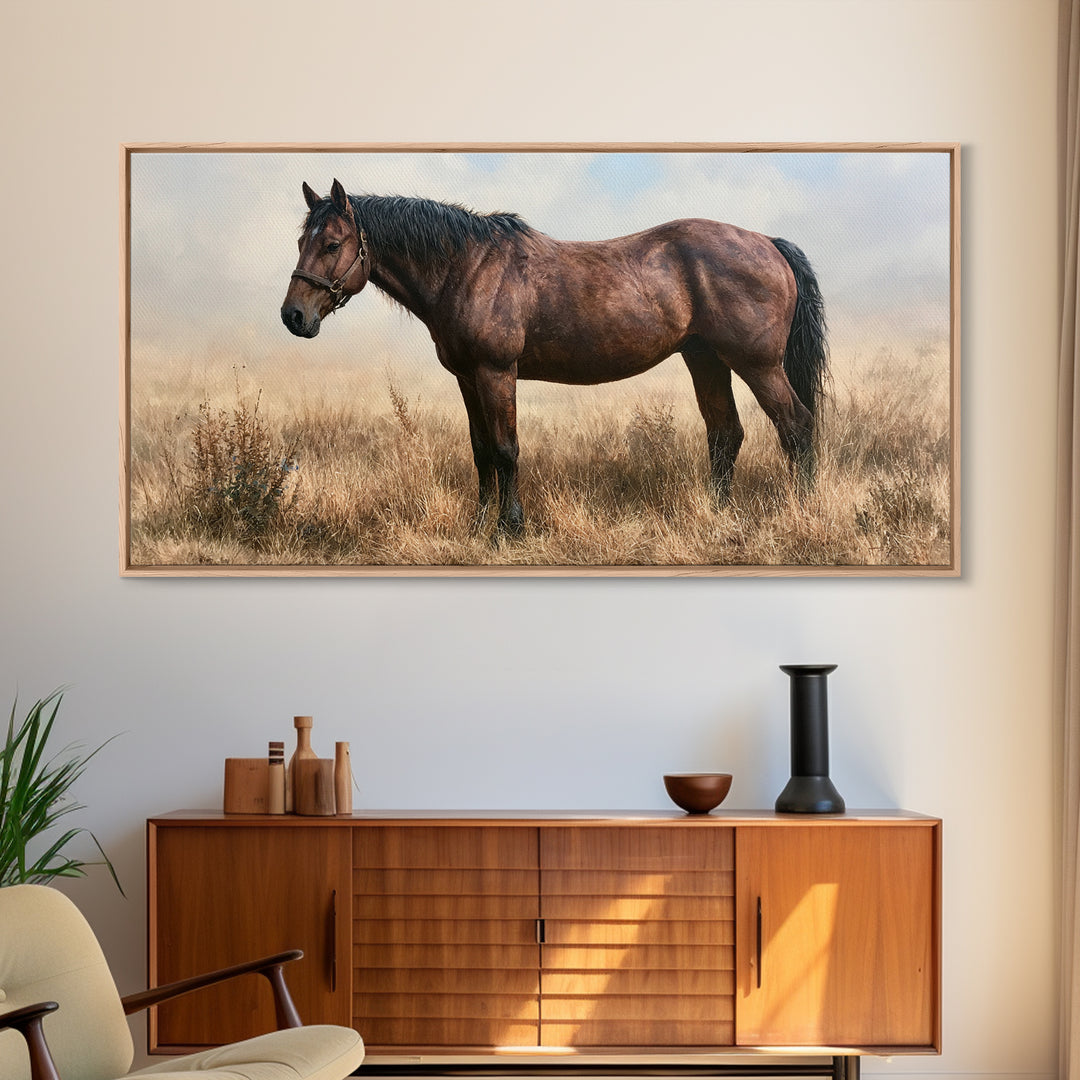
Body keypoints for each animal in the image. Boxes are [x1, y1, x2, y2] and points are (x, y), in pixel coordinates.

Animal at [280, 179, 828, 536]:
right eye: (302, 239)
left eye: (332, 243)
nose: (293, 316)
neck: (467, 267)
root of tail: (768, 243)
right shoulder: (466, 378)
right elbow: (481, 452)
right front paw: (478, 527)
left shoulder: (496, 373)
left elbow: (506, 450)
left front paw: (511, 529)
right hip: (706, 360)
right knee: (725, 435)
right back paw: (718, 515)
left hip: (757, 364)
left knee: (796, 426)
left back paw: (799, 511)